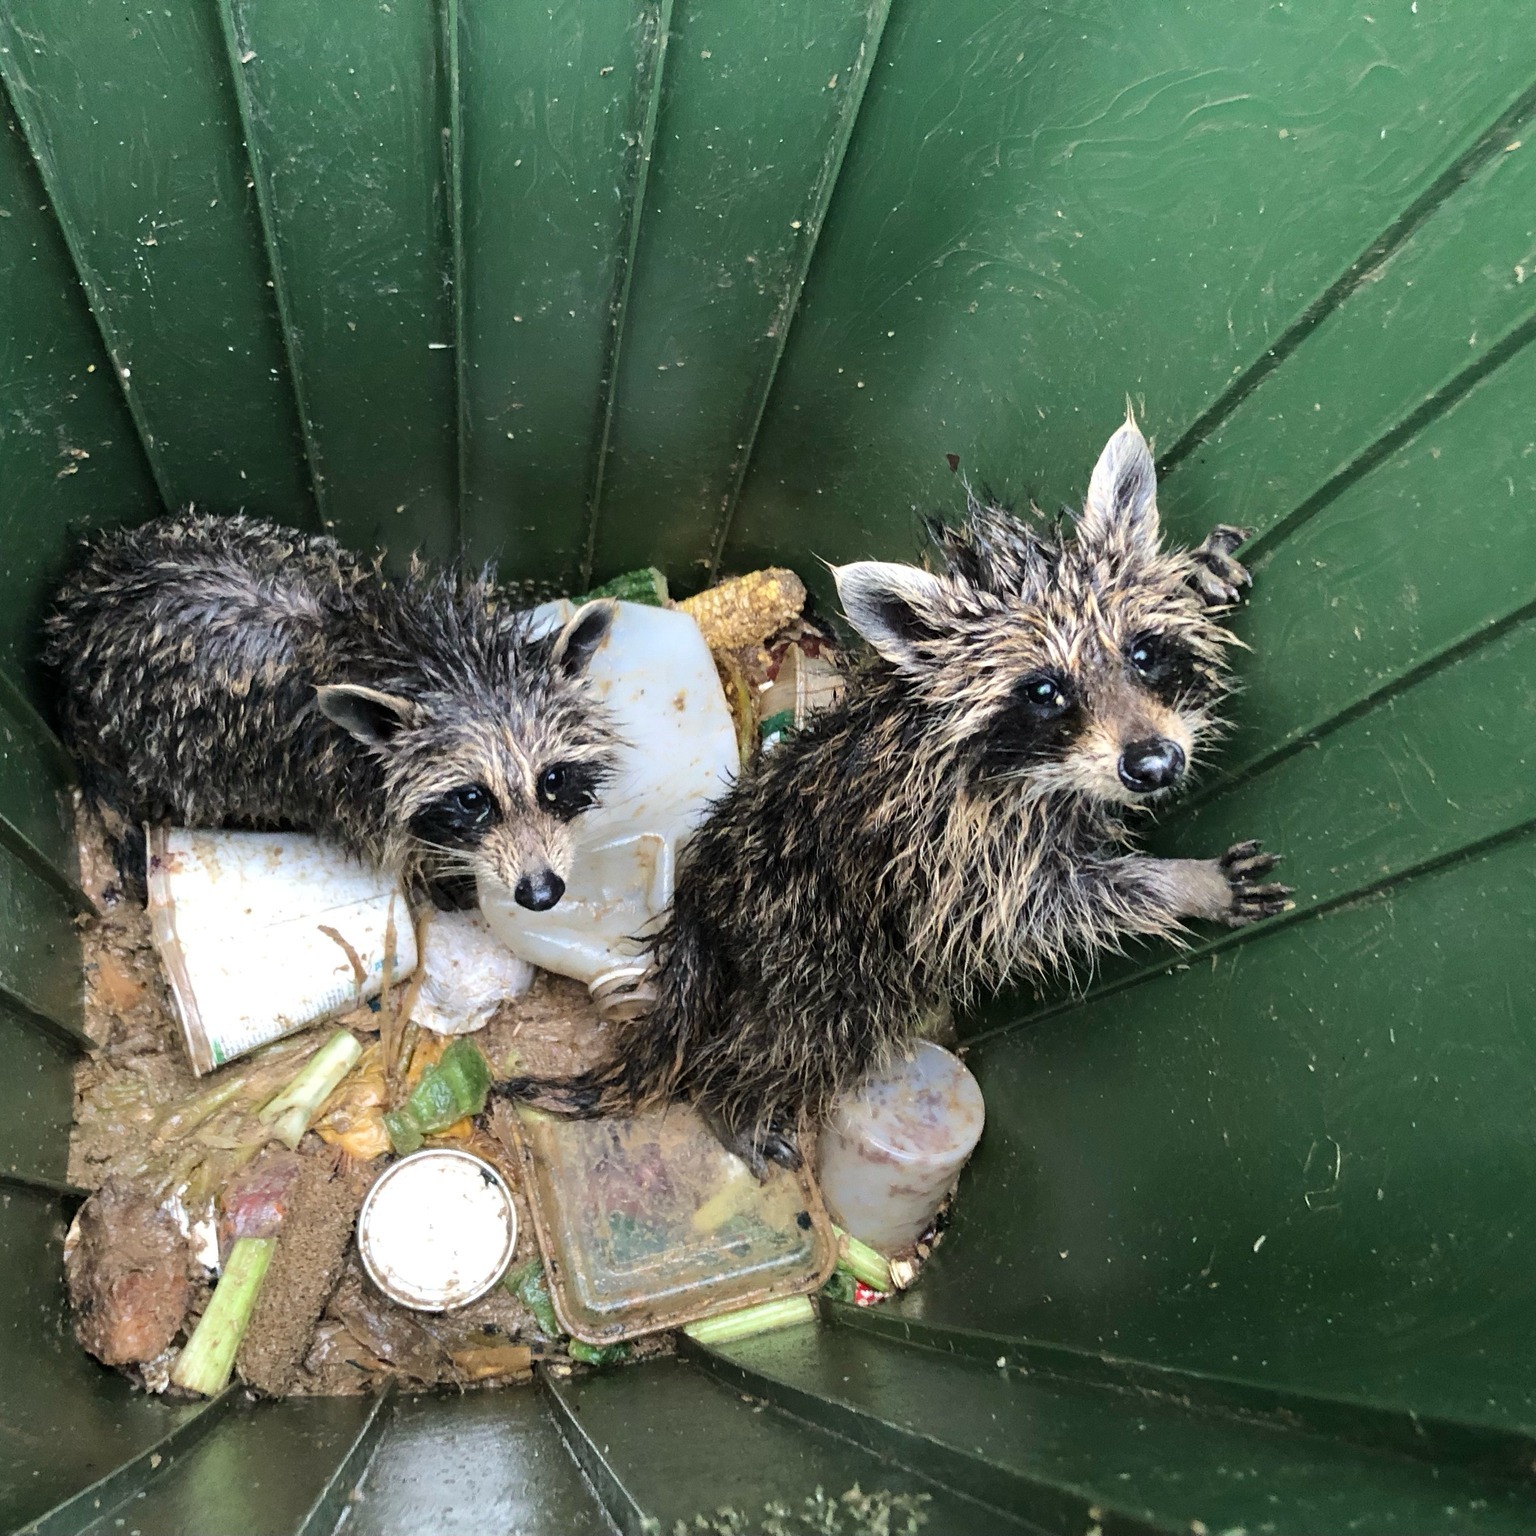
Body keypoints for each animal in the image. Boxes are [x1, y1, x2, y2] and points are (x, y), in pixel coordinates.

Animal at [44, 511, 618, 910]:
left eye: (553, 778)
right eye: (472, 799)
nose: (540, 893)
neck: (427, 655)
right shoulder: (340, 786)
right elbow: (399, 846)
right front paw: (441, 874)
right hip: (130, 738)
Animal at [497, 414, 1292, 1174]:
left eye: (1144, 652)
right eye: (1043, 691)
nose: (1153, 764)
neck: (1041, 771)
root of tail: (700, 899)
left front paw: (1198, 573)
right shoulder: (952, 850)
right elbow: (1041, 911)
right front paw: (1186, 882)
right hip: (818, 953)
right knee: (797, 1039)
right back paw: (732, 1100)